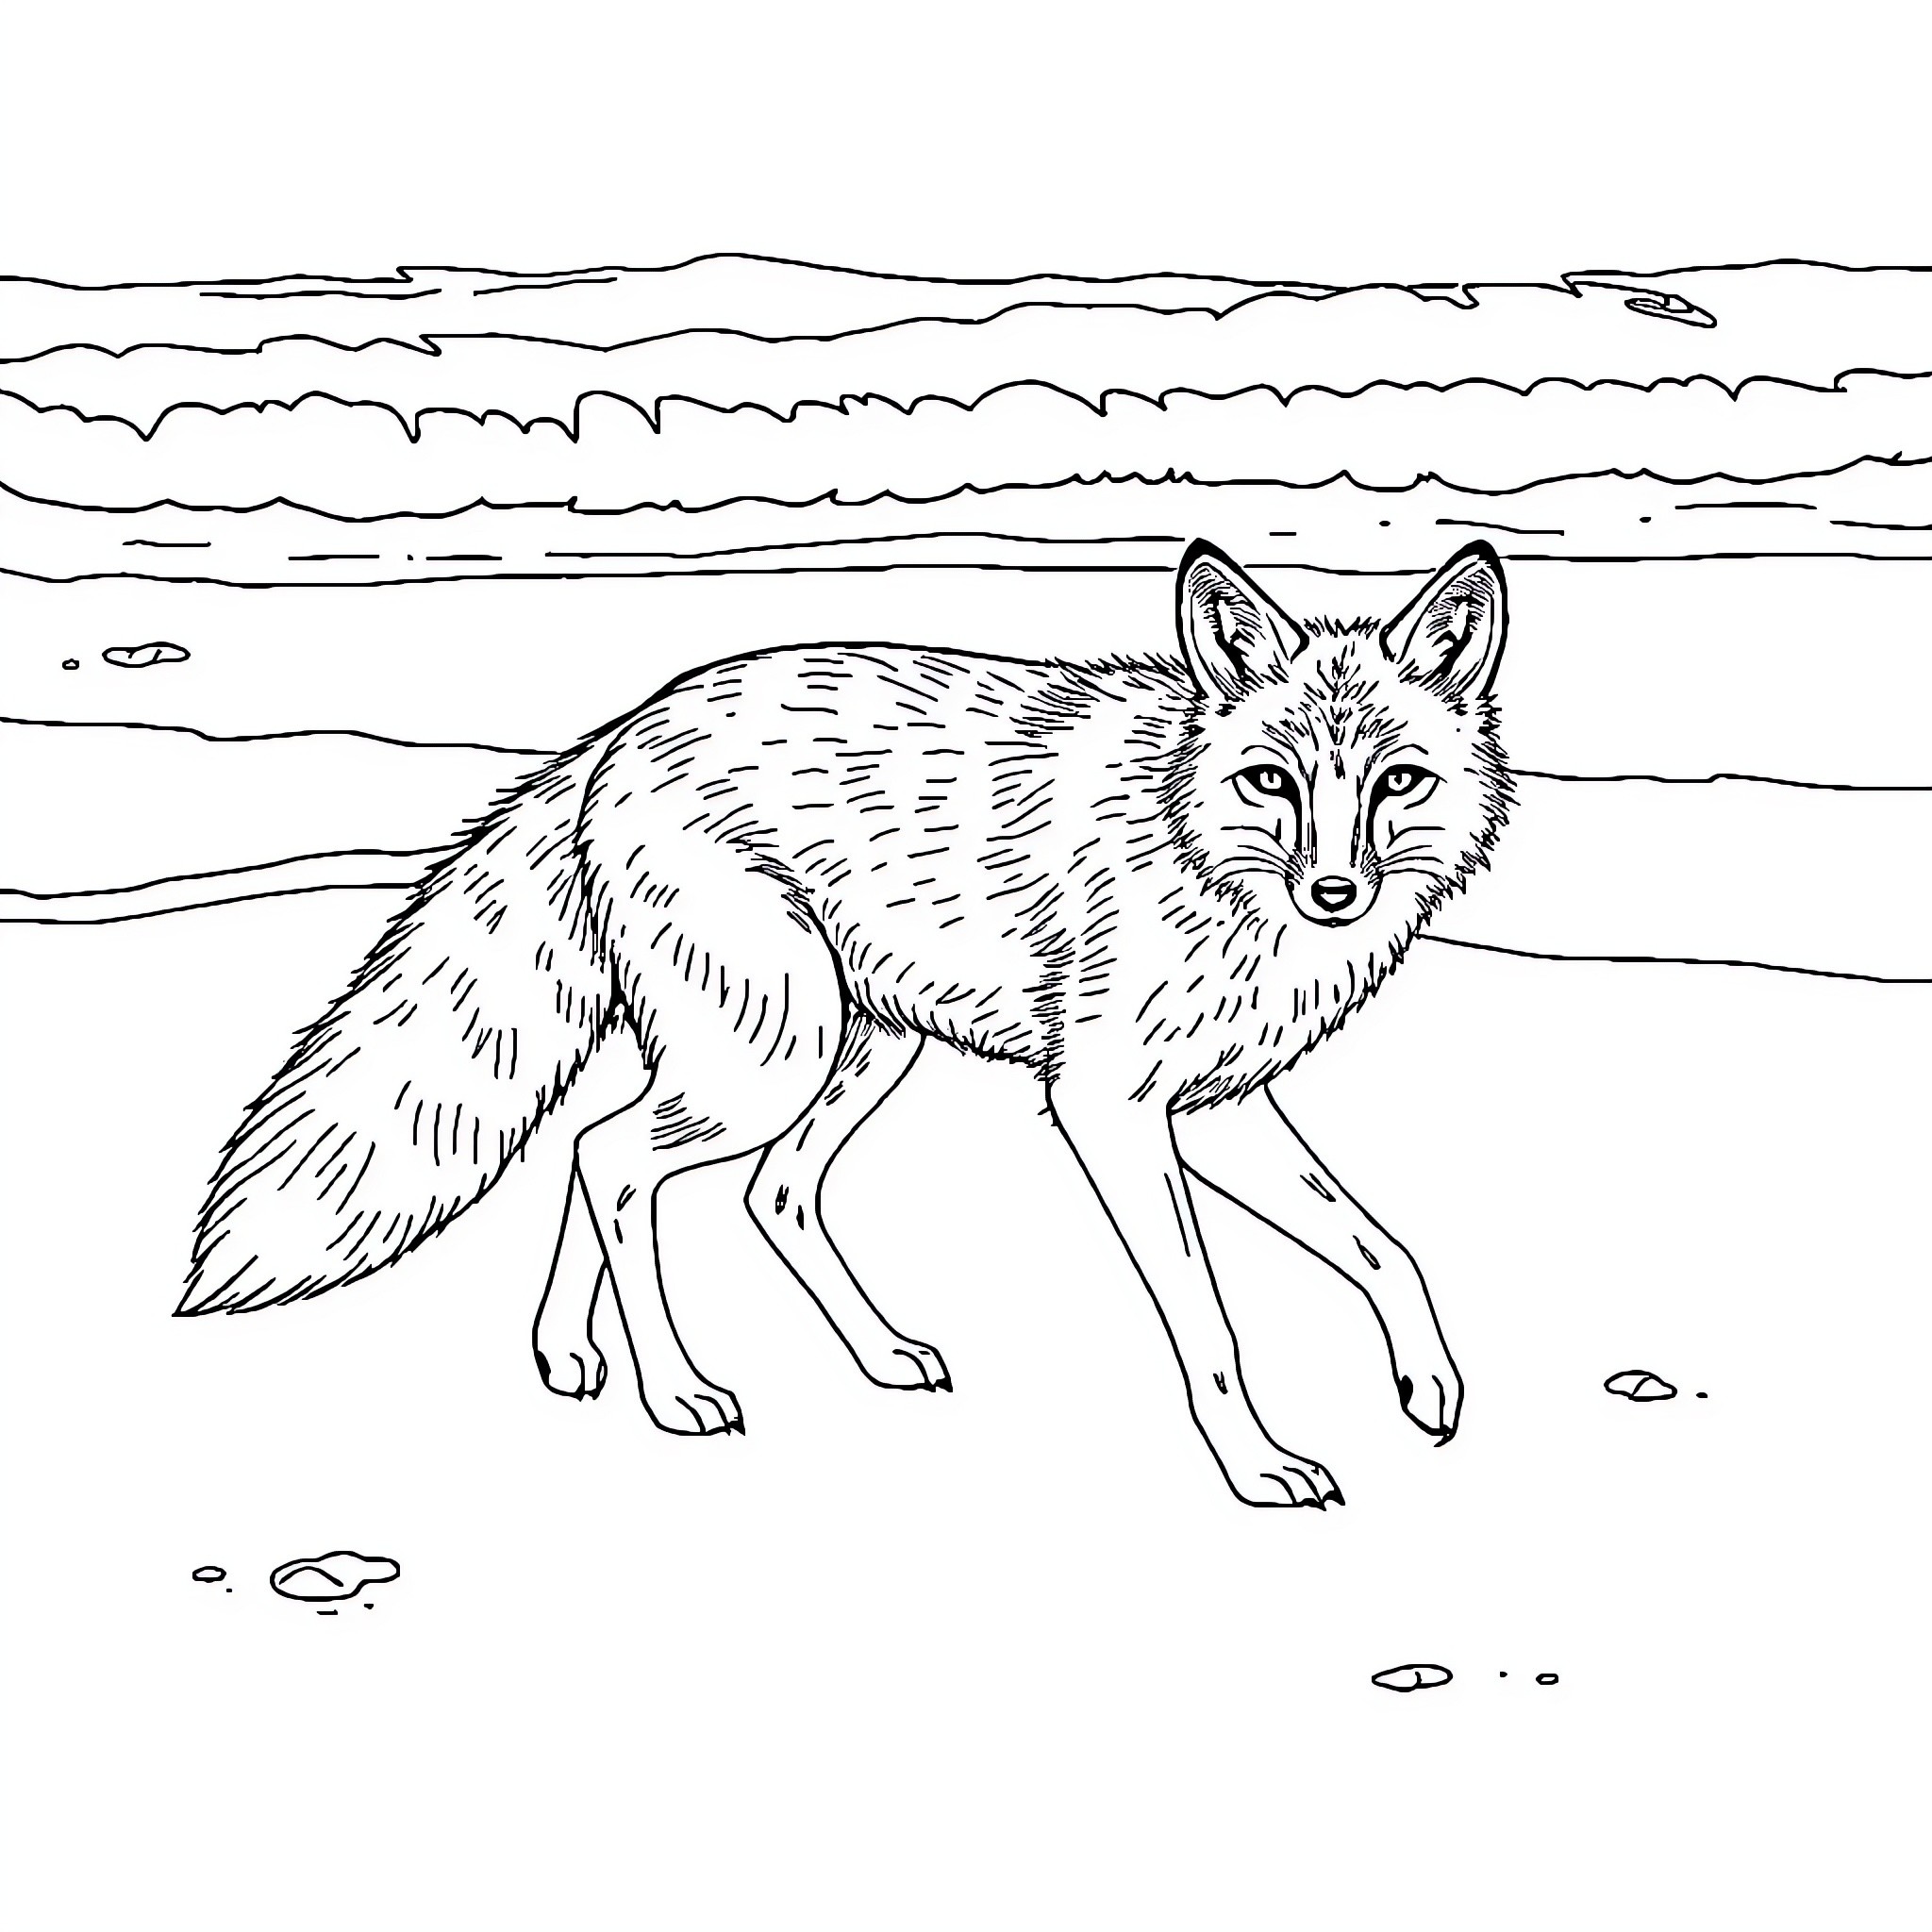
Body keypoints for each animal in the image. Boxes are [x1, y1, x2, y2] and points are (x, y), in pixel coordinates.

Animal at [181, 538, 1513, 1508]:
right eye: (1269, 782)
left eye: (1396, 782)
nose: (1332, 893)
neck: (1195, 844)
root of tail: (618, 730)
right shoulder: (1109, 1110)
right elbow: (1213, 1324)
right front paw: (1257, 1465)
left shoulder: (1219, 1105)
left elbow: (1382, 1246)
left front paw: (1428, 1384)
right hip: (764, 1059)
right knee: (611, 1159)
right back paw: (676, 1389)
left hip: (840, 1052)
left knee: (732, 1182)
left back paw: (659, 1355)